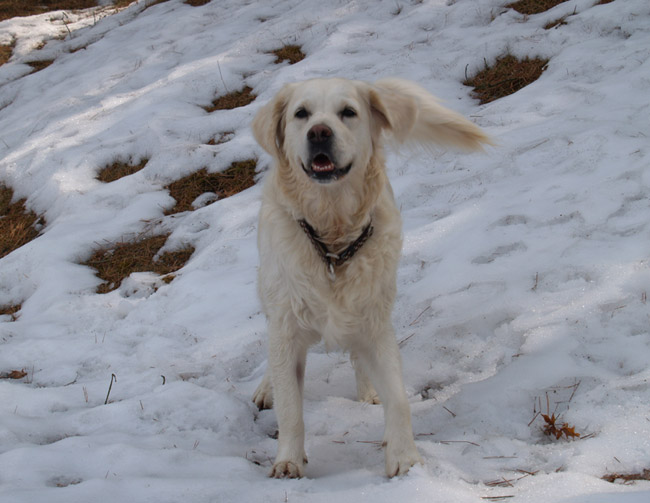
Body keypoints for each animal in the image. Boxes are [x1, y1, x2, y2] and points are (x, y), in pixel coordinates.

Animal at [249, 77, 492, 478]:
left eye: (348, 112)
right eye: (301, 114)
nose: (319, 132)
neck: (332, 239)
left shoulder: (375, 321)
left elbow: (398, 398)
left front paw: (404, 457)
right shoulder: (287, 324)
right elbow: (290, 409)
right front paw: (288, 461)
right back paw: (266, 387)